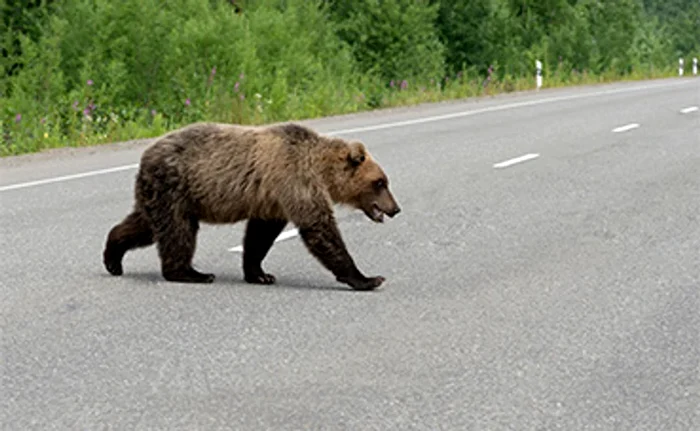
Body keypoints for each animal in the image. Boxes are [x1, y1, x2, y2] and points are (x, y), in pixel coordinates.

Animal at [102, 121, 401, 290]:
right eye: (380, 182)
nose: (395, 208)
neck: (320, 168)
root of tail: (145, 155)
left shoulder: (272, 198)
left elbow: (260, 236)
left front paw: (260, 274)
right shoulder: (294, 179)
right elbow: (318, 228)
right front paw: (369, 279)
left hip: (163, 193)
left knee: (145, 224)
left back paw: (113, 258)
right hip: (175, 185)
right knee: (177, 230)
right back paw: (192, 273)